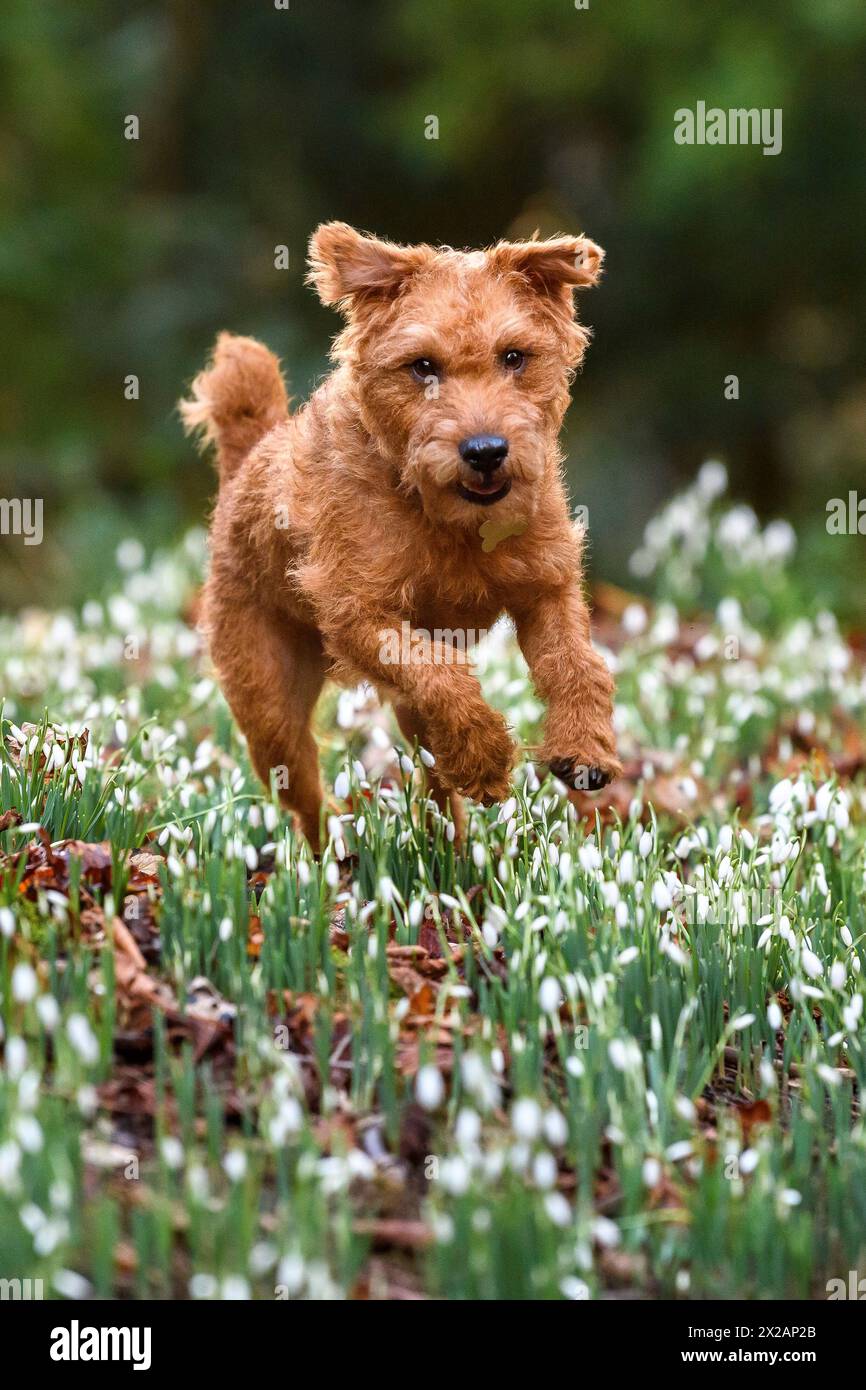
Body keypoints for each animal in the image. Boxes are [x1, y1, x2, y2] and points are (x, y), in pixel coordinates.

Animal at [179, 221, 619, 845]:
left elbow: (574, 662)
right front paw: (486, 755)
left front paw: (582, 748)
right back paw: (332, 854)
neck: (446, 520)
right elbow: (439, 673)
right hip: (269, 707)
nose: (485, 450)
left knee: (432, 778)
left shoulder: (546, 585)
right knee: (306, 799)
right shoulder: (358, 615)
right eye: (422, 366)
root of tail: (247, 459)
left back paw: (450, 847)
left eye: (514, 357)